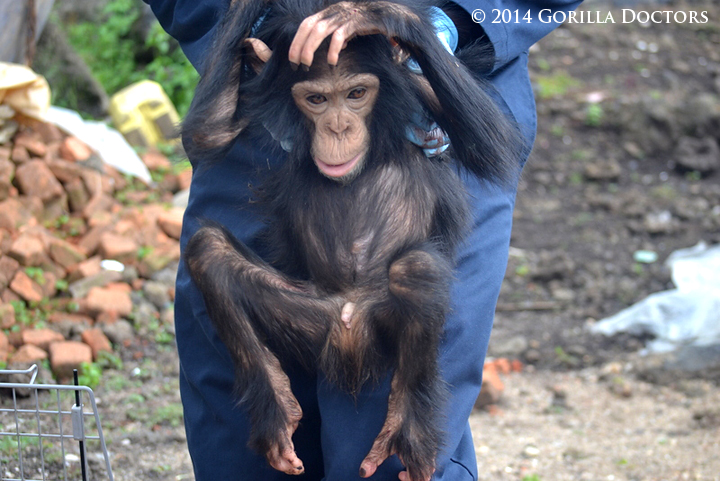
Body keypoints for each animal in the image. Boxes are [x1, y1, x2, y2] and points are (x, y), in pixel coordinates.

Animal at [180, 0, 516, 480]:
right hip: (308, 319)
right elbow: (209, 132)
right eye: (317, 99)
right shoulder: (256, 97)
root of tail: (349, 335)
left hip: (380, 320)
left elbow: (490, 140)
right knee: (208, 249)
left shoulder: (421, 96)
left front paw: (372, 16)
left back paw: (406, 426)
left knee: (417, 271)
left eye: (356, 94)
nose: (338, 127)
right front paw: (255, 20)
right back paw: (277, 407)